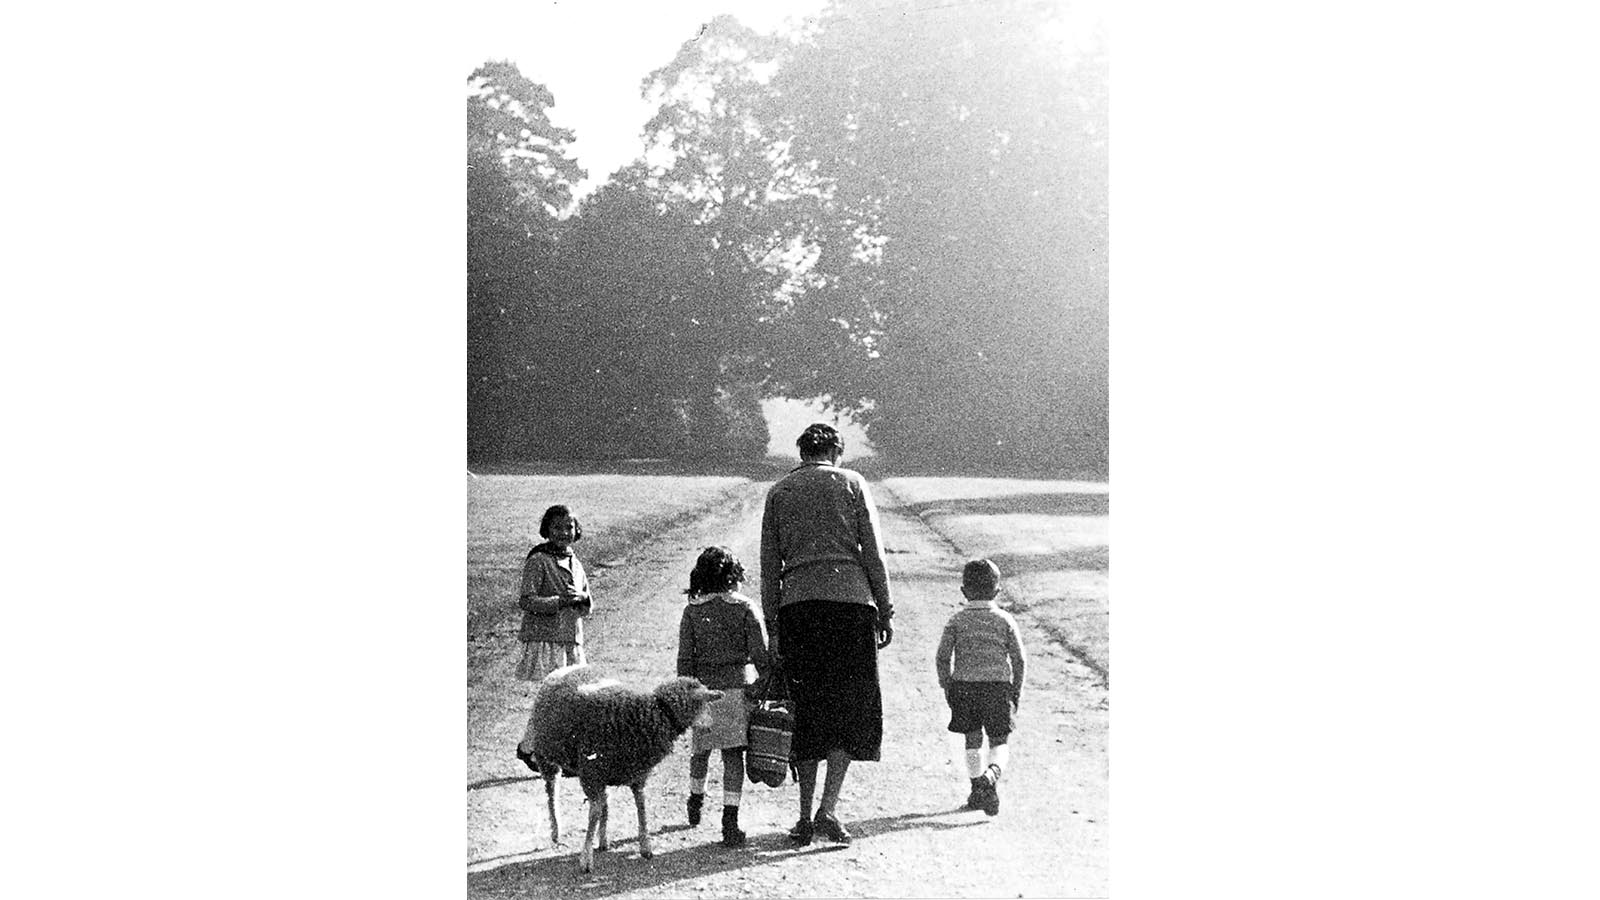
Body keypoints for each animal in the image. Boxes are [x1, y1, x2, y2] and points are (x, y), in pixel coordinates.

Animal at [528, 662, 723, 864]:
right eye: (703, 704)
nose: (711, 726)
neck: (655, 713)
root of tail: (569, 667)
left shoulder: (637, 774)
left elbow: (640, 806)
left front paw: (645, 846)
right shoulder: (591, 773)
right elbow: (593, 813)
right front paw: (586, 858)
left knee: (604, 800)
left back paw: (603, 839)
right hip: (547, 758)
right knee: (552, 793)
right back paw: (556, 831)